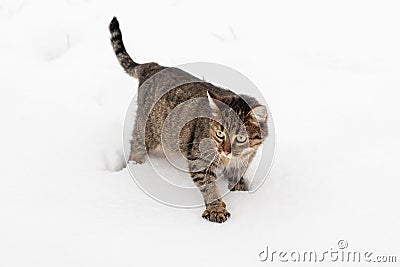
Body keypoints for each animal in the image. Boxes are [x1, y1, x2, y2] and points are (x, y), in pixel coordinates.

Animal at [108, 15, 268, 223]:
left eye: (241, 137)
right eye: (220, 134)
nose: (225, 151)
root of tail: (153, 66)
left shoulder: (244, 160)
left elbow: (236, 176)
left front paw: (240, 189)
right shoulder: (199, 161)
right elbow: (209, 187)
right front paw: (216, 208)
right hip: (148, 130)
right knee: (136, 146)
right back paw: (136, 167)